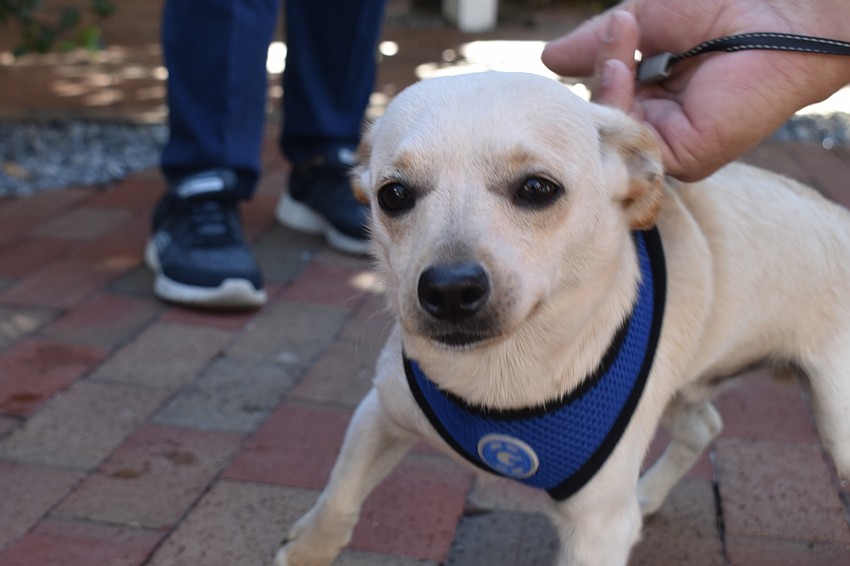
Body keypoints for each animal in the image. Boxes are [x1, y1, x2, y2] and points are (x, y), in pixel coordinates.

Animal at [273, 71, 850, 566]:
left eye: (537, 188)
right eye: (392, 195)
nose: (450, 290)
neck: (499, 376)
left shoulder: (596, 530)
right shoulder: (380, 412)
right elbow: (338, 496)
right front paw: (307, 550)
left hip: (834, 424)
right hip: (681, 385)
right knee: (704, 426)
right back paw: (648, 494)